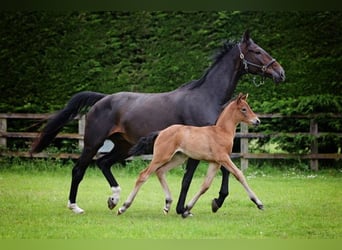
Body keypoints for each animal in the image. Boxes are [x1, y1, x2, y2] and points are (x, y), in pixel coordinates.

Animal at [119, 94, 264, 217]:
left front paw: (187, 209)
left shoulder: (215, 162)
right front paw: (259, 203)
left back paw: (168, 204)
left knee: (160, 171)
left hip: (178, 158)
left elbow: (205, 185)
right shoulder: (223, 158)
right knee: (143, 175)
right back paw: (123, 207)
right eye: (244, 109)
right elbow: (239, 175)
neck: (221, 132)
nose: (257, 121)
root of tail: (161, 132)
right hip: (161, 156)